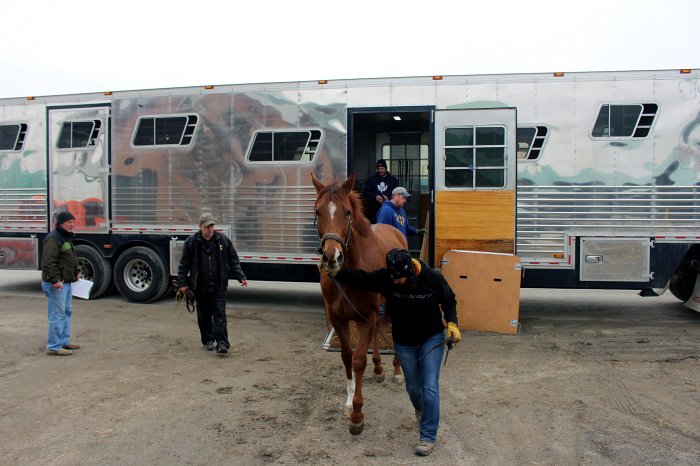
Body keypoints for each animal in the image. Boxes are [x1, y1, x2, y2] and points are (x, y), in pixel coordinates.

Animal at [310, 173, 404, 436]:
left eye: (347, 212)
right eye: (318, 211)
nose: (332, 257)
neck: (350, 272)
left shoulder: (365, 317)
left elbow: (359, 361)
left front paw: (357, 415)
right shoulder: (340, 319)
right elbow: (346, 357)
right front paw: (349, 402)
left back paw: (396, 370)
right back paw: (379, 368)